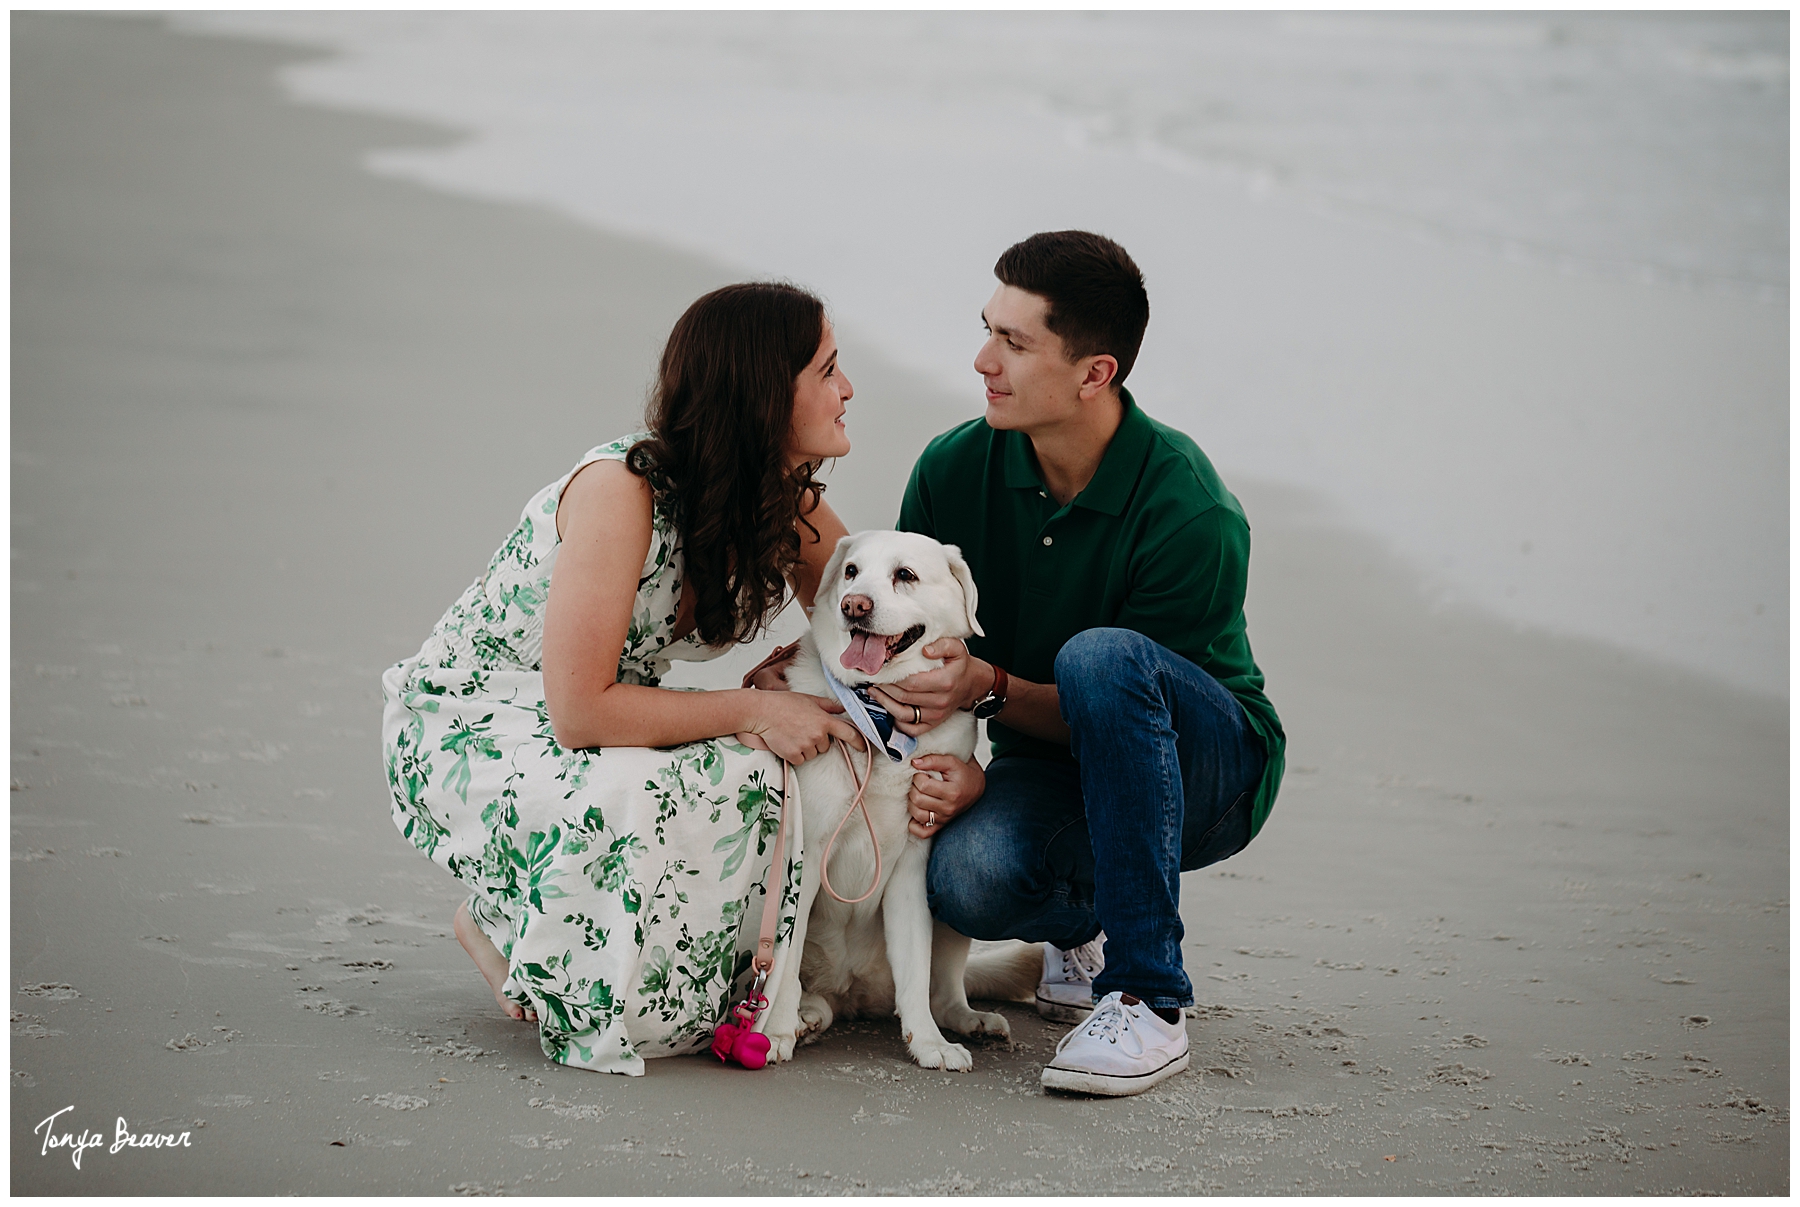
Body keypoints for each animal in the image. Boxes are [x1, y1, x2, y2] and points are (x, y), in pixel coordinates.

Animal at [763, 532, 1044, 1072]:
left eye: (905, 575)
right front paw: (773, 1033)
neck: (880, 715)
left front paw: (928, 1043)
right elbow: (783, 965)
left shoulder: (914, 865)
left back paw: (966, 1019)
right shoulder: (806, 856)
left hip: (946, 906)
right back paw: (803, 1018)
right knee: (803, 987)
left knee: (942, 988)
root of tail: (851, 994)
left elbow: (915, 967)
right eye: (851, 571)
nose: (854, 605)